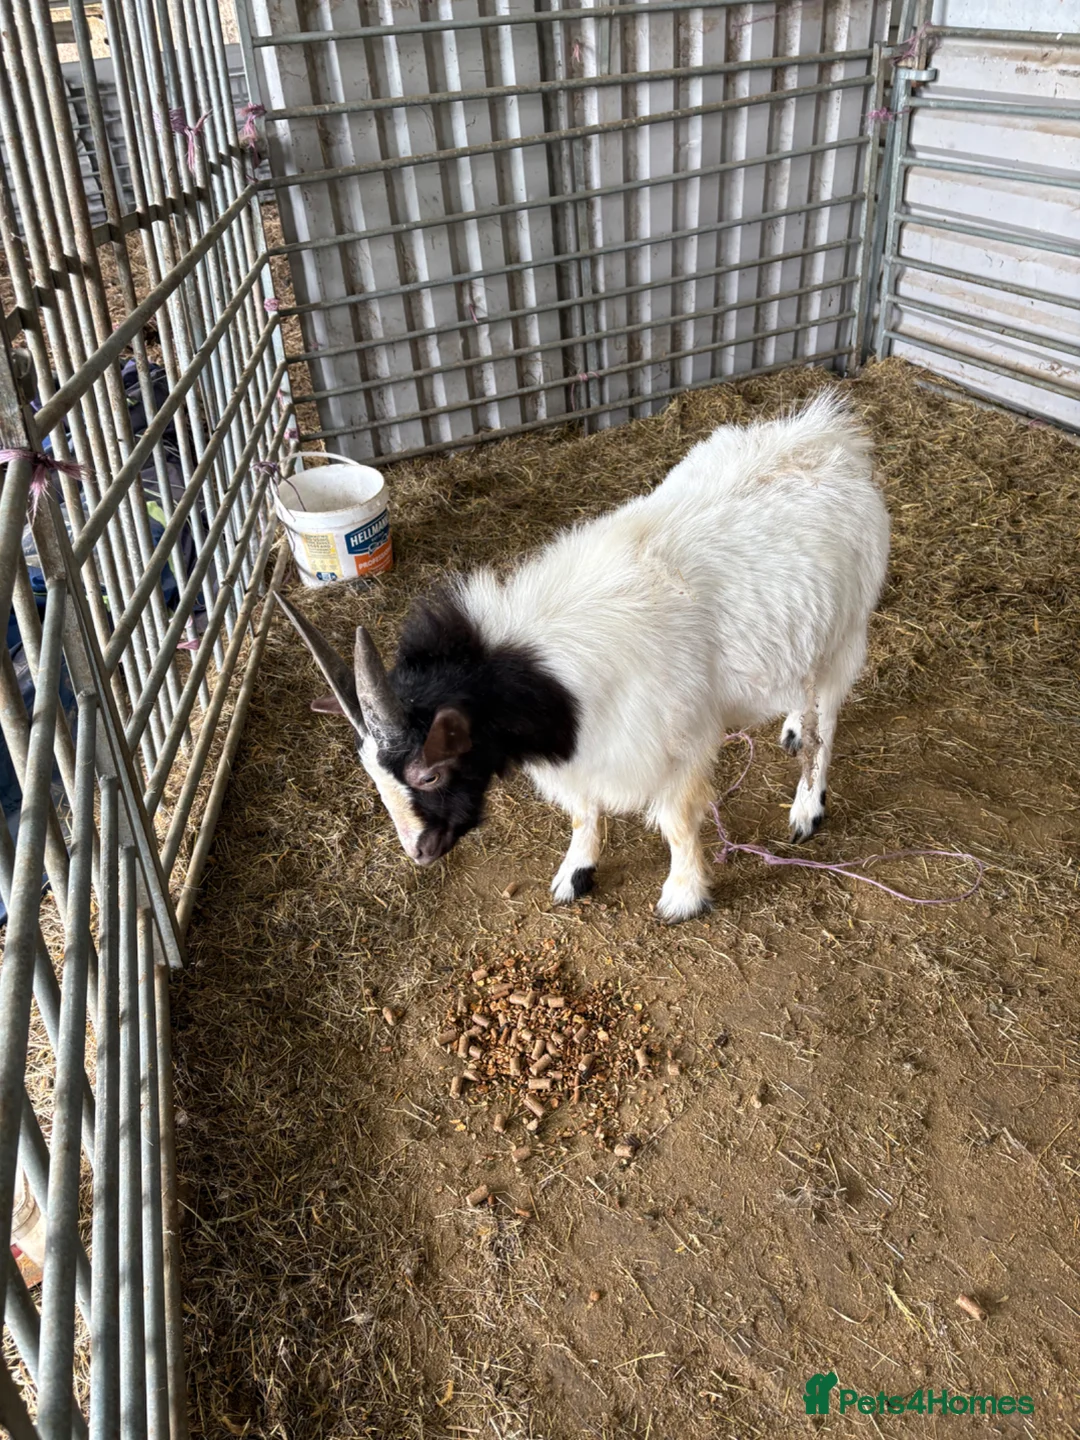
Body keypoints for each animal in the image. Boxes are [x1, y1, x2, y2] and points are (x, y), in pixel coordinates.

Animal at [276, 391, 890, 923]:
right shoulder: (584, 755)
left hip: (844, 634)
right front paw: (575, 873)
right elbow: (581, 813)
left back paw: (808, 807)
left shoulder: (677, 748)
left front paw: (683, 896)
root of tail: (827, 435)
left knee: (826, 721)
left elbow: (678, 823)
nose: (420, 853)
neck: (549, 682)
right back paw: (789, 727)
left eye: (427, 774)